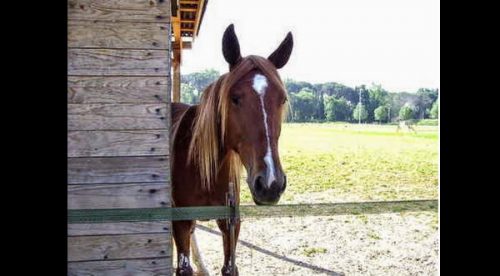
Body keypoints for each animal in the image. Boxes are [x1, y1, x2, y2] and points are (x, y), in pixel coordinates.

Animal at [171, 24, 292, 276]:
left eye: (282, 99)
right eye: (234, 98)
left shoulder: (230, 224)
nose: (270, 183)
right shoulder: (180, 221)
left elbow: (229, 267)